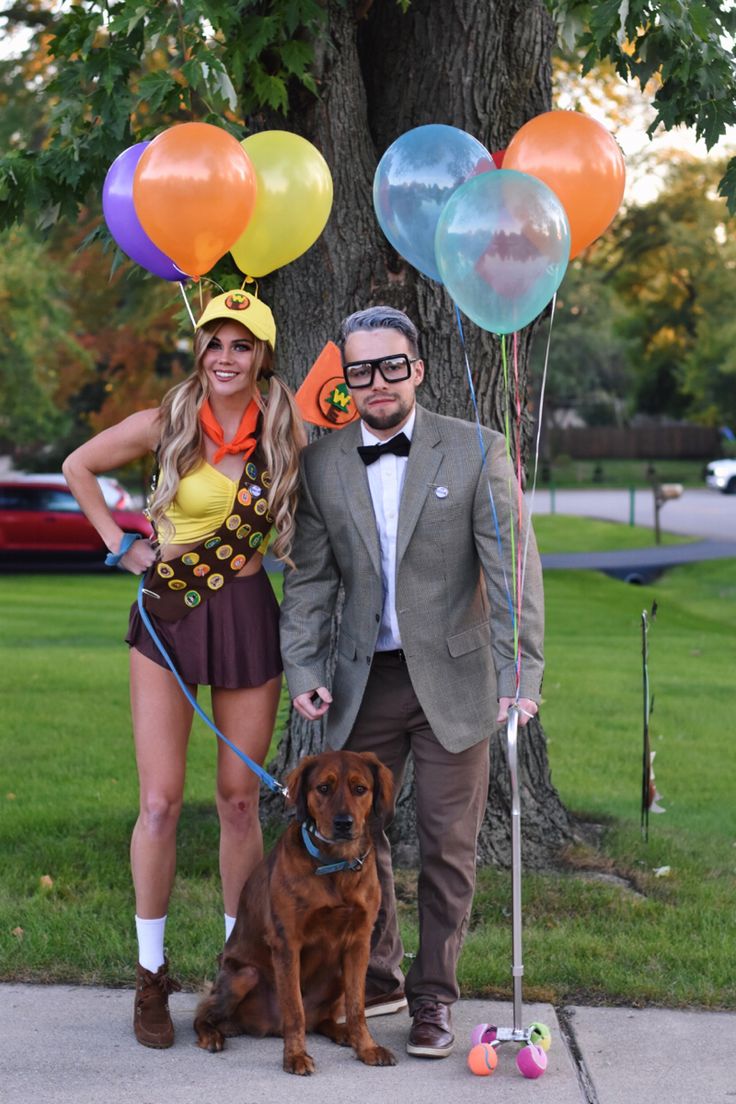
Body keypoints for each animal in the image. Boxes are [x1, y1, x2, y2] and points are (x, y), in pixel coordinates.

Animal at [193, 746, 395, 1073]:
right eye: (323, 788)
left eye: (360, 789)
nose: (343, 823)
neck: (335, 866)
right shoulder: (287, 943)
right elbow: (294, 1010)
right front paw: (296, 1056)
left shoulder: (359, 943)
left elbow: (357, 1007)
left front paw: (366, 1047)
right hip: (244, 974)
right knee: (204, 1013)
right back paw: (213, 1034)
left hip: (337, 973)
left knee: (323, 1019)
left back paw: (342, 1033)